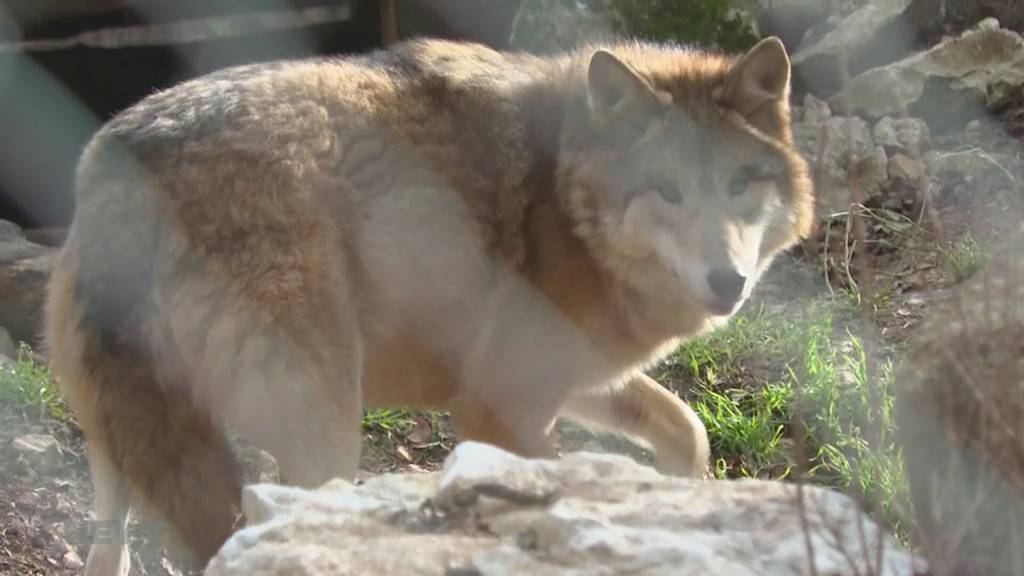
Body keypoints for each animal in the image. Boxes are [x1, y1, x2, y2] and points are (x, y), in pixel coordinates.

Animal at [46, 38, 815, 569]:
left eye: (739, 186)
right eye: (669, 192)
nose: (727, 282)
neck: (567, 202)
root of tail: (124, 155)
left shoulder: (575, 376)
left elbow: (688, 428)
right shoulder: (497, 406)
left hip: (119, 445)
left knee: (109, 549)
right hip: (328, 429)